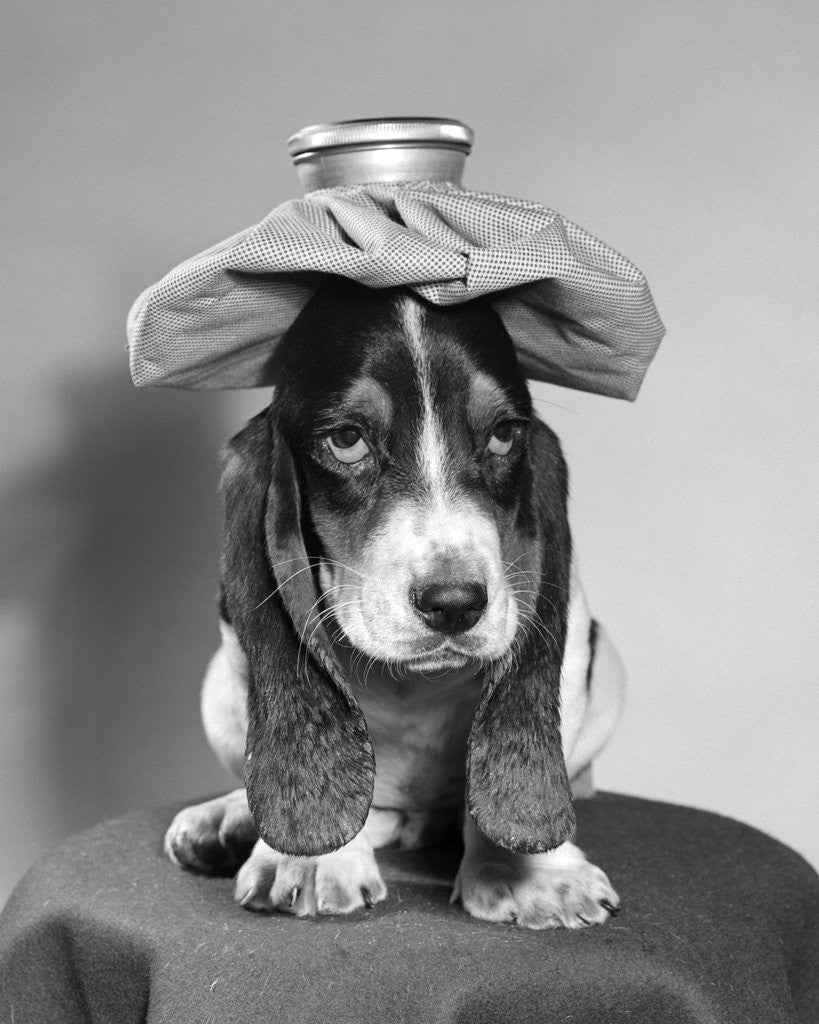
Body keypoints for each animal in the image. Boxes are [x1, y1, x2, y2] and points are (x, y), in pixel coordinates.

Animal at [165, 280, 626, 929]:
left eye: (504, 434)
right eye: (346, 440)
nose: (455, 604)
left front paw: (532, 874)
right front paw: (315, 859)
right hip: (216, 692)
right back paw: (229, 816)